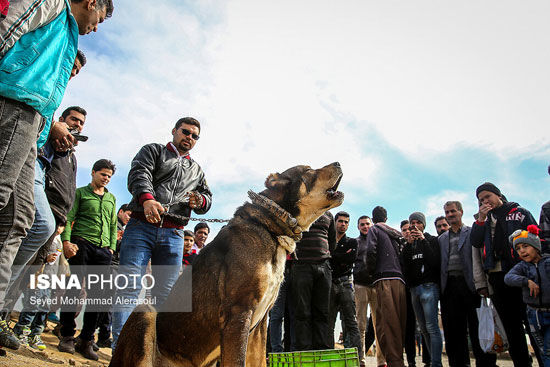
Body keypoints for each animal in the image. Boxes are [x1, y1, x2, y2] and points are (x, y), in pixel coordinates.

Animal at [110, 162, 344, 367]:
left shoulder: (259, 325)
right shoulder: (238, 312)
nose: (339, 163)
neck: (271, 228)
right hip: (145, 311)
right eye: (309, 170)